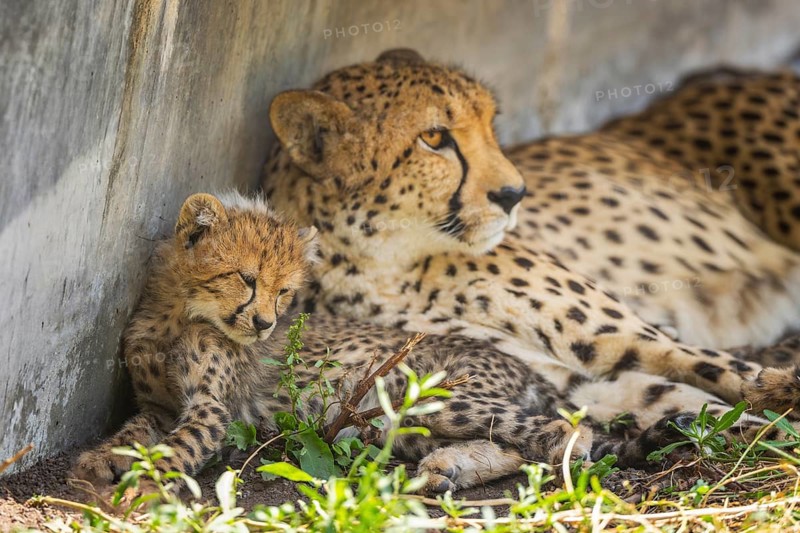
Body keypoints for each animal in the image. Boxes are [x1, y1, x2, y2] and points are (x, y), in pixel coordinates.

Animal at [73, 191, 702, 495]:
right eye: (247, 279)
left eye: (285, 290)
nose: (266, 324)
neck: (178, 314)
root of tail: (529, 370)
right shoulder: (159, 404)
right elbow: (134, 431)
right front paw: (99, 461)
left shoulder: (212, 411)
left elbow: (177, 446)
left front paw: (140, 484)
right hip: (392, 424)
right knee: (514, 444)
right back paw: (447, 469)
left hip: (422, 395)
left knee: (563, 433)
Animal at [261, 49, 800, 460]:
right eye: (433, 137)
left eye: (490, 123)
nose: (514, 193)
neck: (383, 264)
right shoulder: (566, 378)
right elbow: (691, 399)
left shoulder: (631, 339)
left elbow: (732, 373)